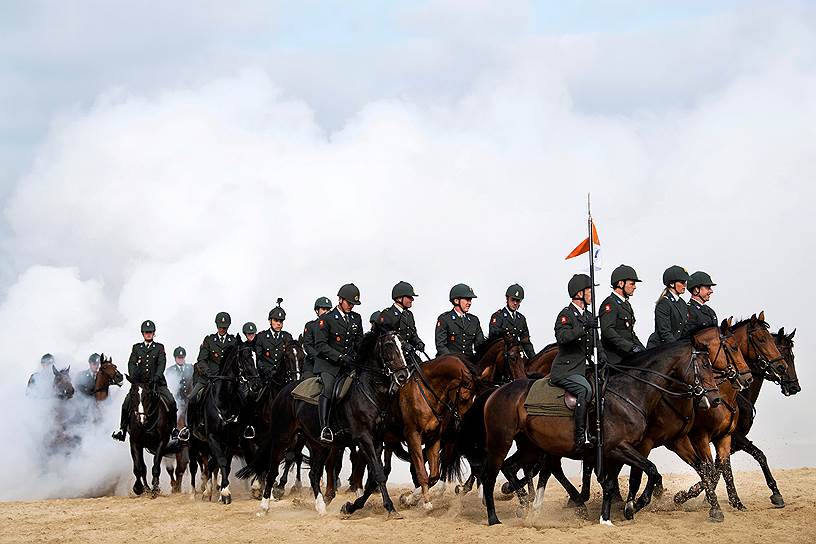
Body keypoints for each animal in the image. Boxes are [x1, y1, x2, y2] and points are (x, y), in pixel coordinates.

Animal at [186, 340, 260, 506]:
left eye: (255, 356)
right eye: (244, 357)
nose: (256, 384)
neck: (224, 399)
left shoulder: (233, 440)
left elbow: (226, 463)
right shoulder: (214, 437)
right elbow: (221, 461)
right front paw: (225, 492)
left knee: (210, 465)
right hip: (194, 444)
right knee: (197, 466)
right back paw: (197, 493)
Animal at [239, 332, 412, 520]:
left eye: (403, 345)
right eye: (388, 345)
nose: (403, 375)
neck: (369, 392)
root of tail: (284, 391)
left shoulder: (377, 441)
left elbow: (374, 476)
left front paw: (350, 507)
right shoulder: (364, 438)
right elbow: (379, 474)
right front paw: (390, 508)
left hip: (318, 444)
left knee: (314, 473)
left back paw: (321, 507)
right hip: (282, 438)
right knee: (272, 471)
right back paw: (264, 506)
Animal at [482, 330, 724, 524]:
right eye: (705, 365)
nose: (715, 399)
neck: (630, 392)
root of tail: (497, 391)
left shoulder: (618, 451)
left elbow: (612, 482)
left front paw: (607, 518)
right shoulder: (620, 447)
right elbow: (651, 471)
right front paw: (635, 505)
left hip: (530, 446)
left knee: (514, 467)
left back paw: (527, 506)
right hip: (500, 442)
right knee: (491, 475)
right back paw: (495, 518)